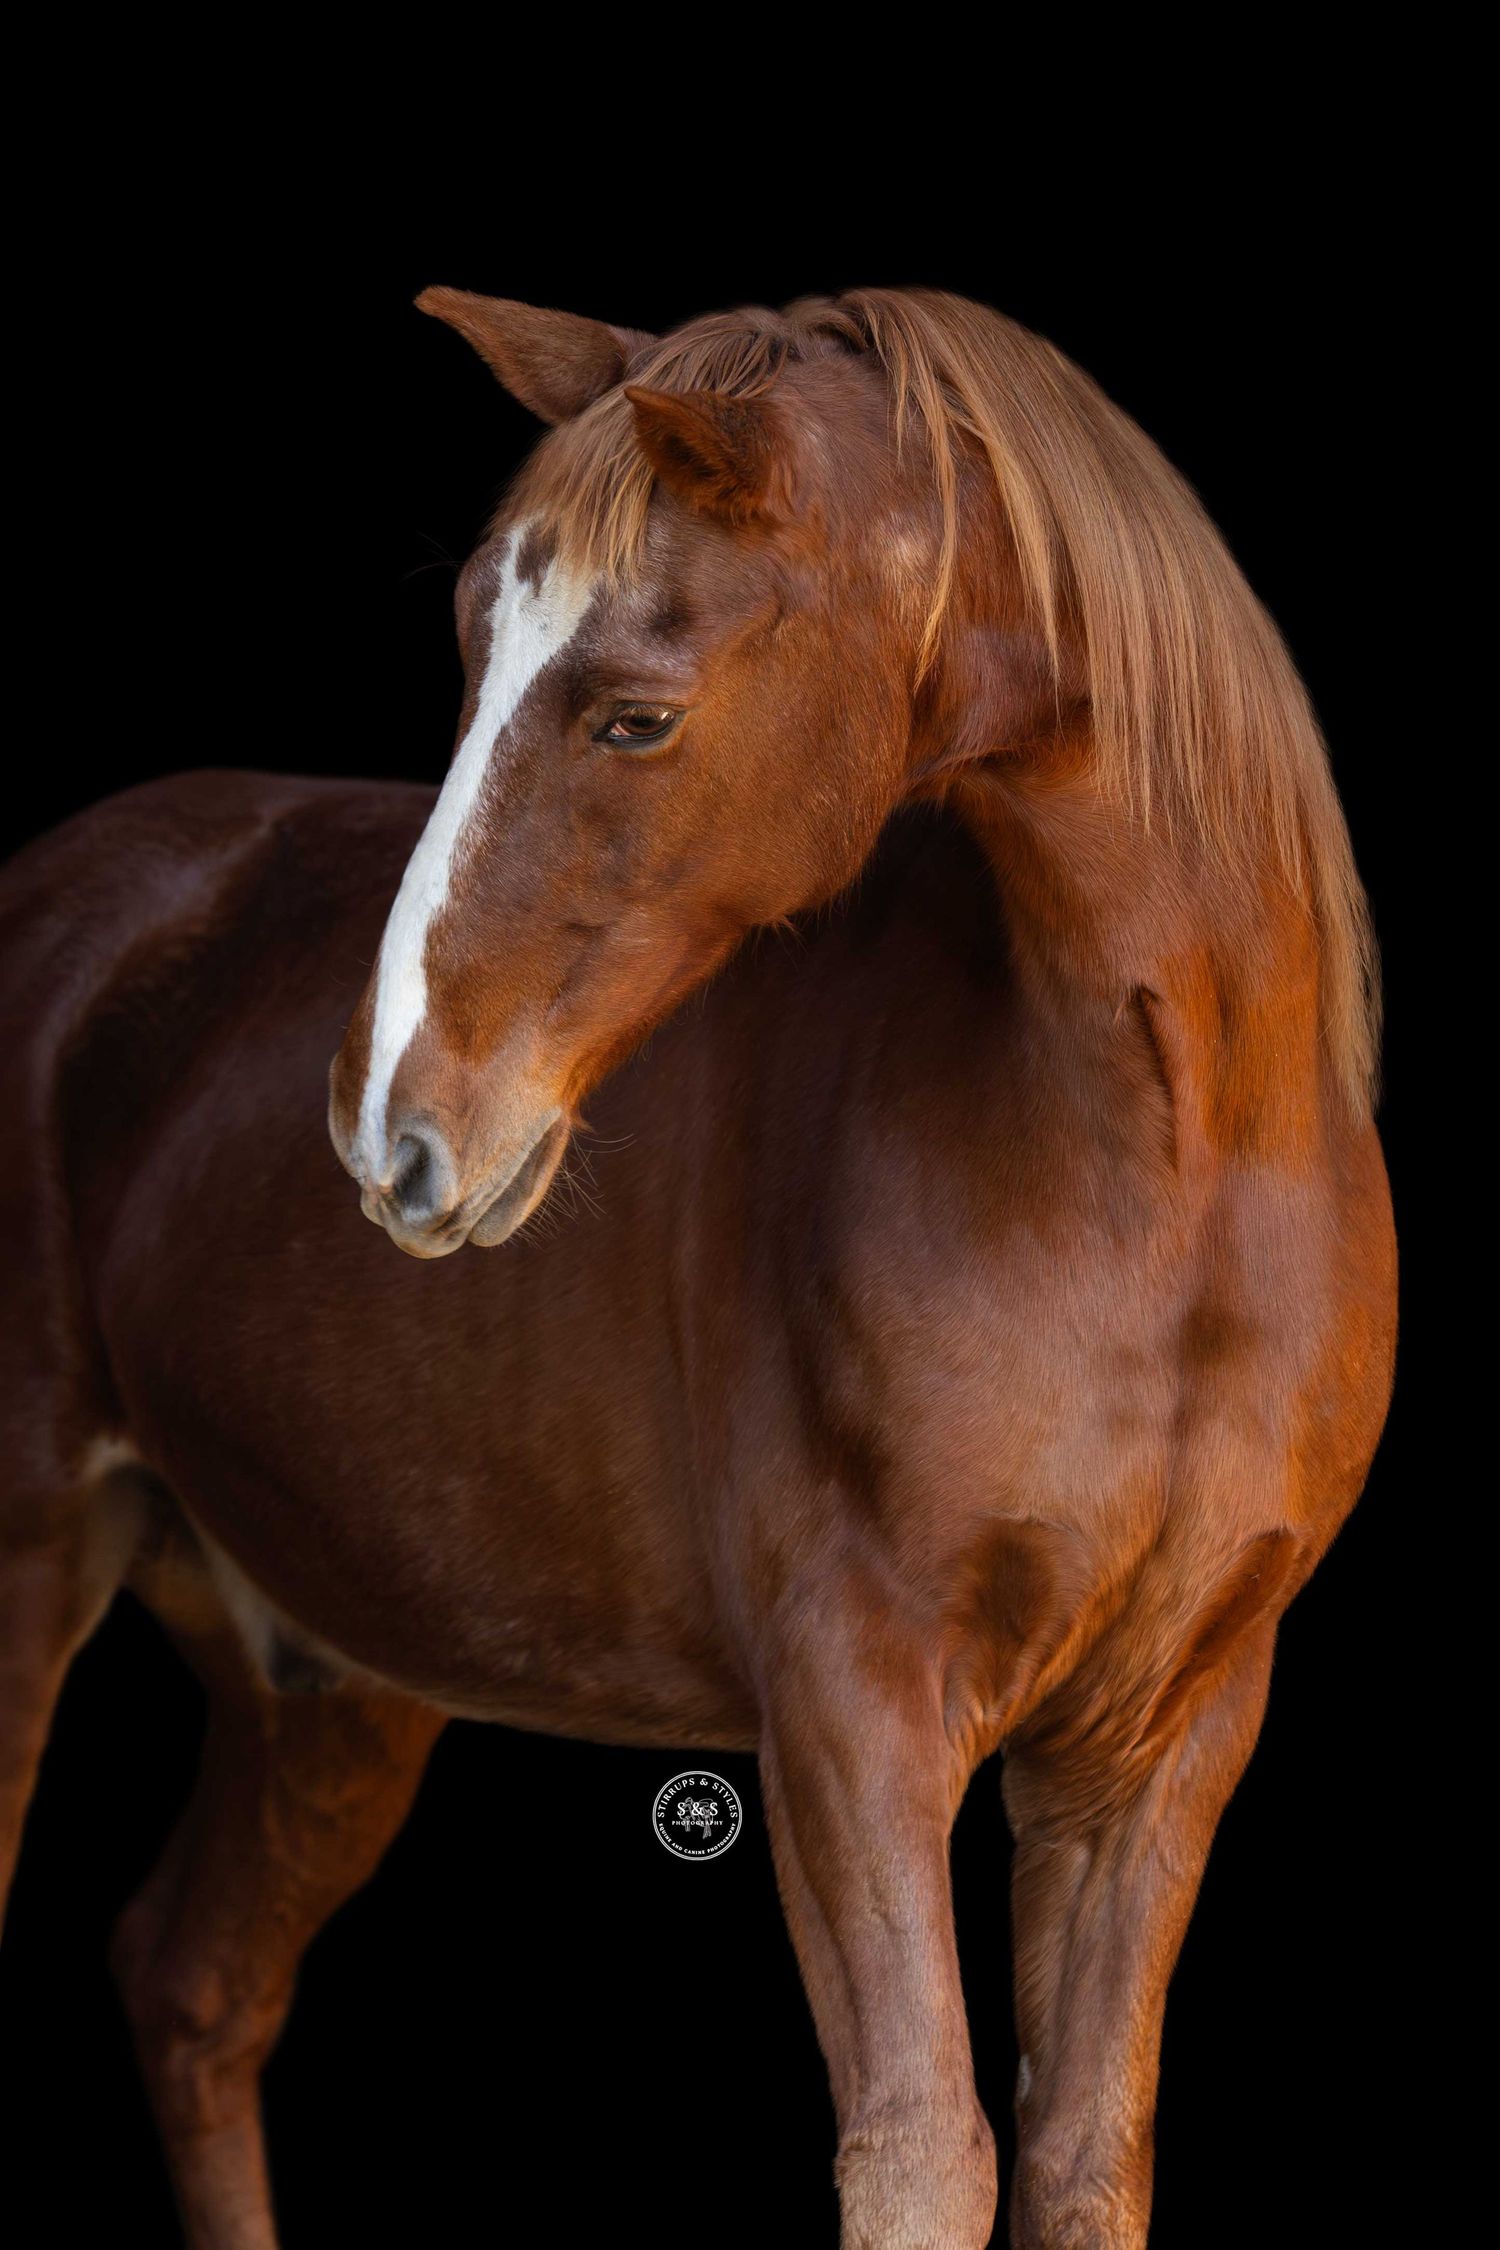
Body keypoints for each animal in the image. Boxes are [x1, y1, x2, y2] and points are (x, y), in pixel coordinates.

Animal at [0, 285, 1396, 2249]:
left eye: (637, 717)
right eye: (469, 652)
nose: (387, 1125)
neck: (1169, 1187)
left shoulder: (1165, 1735)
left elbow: (1079, 2155)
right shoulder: (850, 1710)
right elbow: (921, 2151)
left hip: (325, 1688)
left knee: (194, 1988)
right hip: (37, 1566)